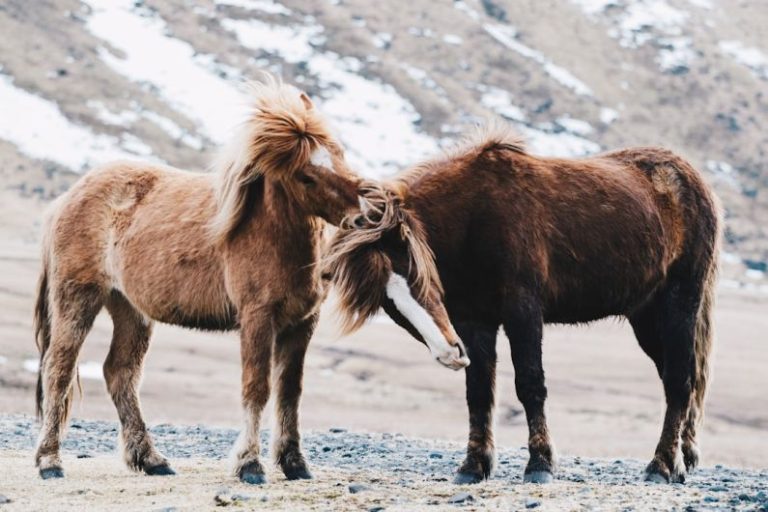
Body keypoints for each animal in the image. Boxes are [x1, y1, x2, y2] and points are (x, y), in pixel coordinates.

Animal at [33, 77, 366, 484]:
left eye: (339, 153)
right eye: (306, 174)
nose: (367, 211)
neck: (268, 231)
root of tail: (66, 198)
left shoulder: (301, 323)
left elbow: (290, 392)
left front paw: (295, 464)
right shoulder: (257, 318)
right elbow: (256, 388)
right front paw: (249, 465)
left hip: (129, 308)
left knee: (120, 373)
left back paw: (152, 460)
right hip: (78, 298)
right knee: (58, 369)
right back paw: (50, 462)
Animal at [324, 121, 721, 485]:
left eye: (414, 271)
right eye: (386, 302)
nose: (450, 353)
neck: (474, 217)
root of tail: (692, 179)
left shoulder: (523, 311)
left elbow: (530, 384)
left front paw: (540, 464)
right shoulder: (473, 322)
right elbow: (479, 392)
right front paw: (473, 466)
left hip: (679, 302)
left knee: (679, 380)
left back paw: (662, 466)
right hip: (646, 317)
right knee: (679, 378)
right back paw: (682, 459)